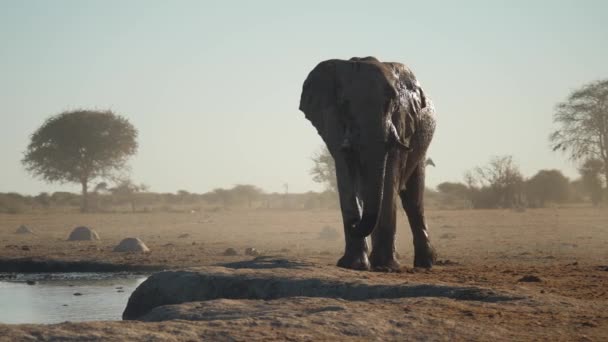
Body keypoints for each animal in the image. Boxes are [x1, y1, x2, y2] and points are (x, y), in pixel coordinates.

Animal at [296, 56, 434, 272]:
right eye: (345, 104)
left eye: (391, 103)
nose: (353, 223)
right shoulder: (333, 122)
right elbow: (345, 172)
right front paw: (353, 265)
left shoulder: (401, 123)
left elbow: (390, 176)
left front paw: (386, 267)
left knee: (413, 200)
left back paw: (425, 264)